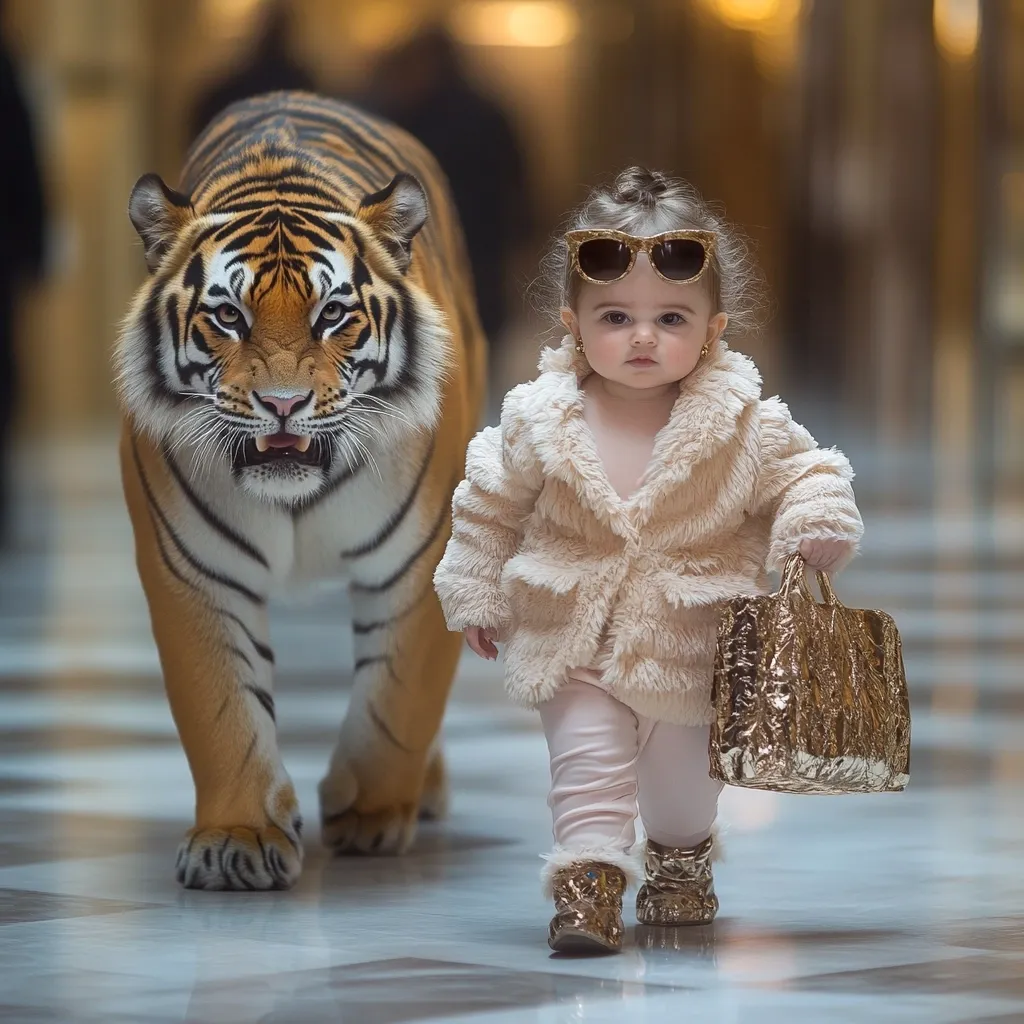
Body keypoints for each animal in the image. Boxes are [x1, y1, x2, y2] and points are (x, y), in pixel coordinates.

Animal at [114, 92, 486, 891]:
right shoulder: (192, 568)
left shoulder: (422, 562)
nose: (282, 404)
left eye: (333, 314)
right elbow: (220, 706)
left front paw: (372, 813)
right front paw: (238, 838)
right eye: (228, 315)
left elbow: (399, 698)